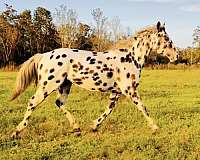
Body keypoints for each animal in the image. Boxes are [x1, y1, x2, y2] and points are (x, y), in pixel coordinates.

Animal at [10, 21, 178, 138]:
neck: (131, 58)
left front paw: (94, 126)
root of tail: (44, 55)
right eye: (167, 40)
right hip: (49, 85)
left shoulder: (116, 92)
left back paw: (76, 128)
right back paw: (16, 132)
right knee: (32, 102)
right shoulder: (129, 90)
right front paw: (155, 127)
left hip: (65, 85)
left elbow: (109, 109)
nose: (176, 57)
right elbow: (143, 108)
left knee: (59, 103)